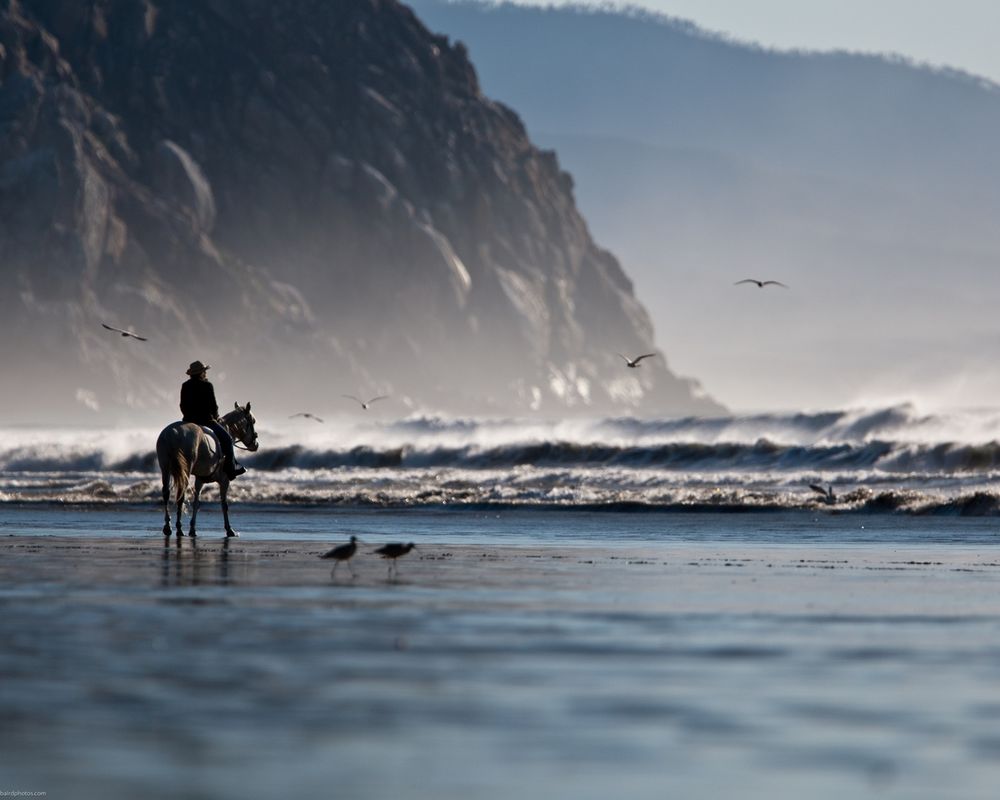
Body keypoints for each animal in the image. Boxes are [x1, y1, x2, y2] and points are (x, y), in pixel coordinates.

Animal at [156, 404, 258, 540]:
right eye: (253, 421)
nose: (255, 445)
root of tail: (172, 434)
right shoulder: (224, 480)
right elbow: (224, 504)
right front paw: (229, 530)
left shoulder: (200, 480)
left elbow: (196, 502)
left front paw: (193, 529)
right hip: (185, 469)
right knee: (181, 495)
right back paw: (179, 528)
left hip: (165, 467)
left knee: (166, 493)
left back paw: (168, 526)